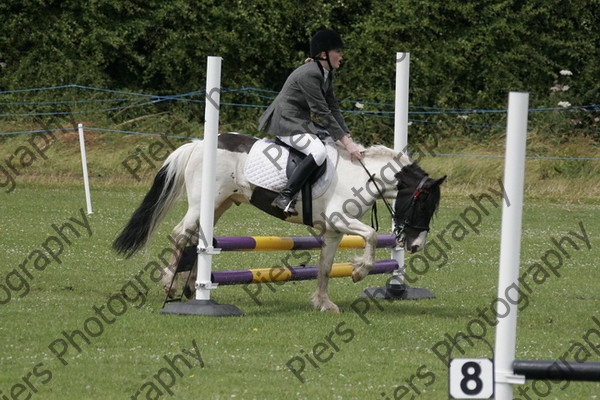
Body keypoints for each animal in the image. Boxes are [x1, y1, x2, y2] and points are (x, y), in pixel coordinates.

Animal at [112, 133, 446, 310]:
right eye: (422, 204)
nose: (416, 246)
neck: (362, 176)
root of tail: (198, 143)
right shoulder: (340, 218)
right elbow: (372, 237)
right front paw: (358, 272)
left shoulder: (334, 229)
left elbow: (326, 265)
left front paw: (323, 303)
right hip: (201, 203)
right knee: (181, 233)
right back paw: (170, 284)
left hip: (218, 205)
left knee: (197, 239)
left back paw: (191, 287)